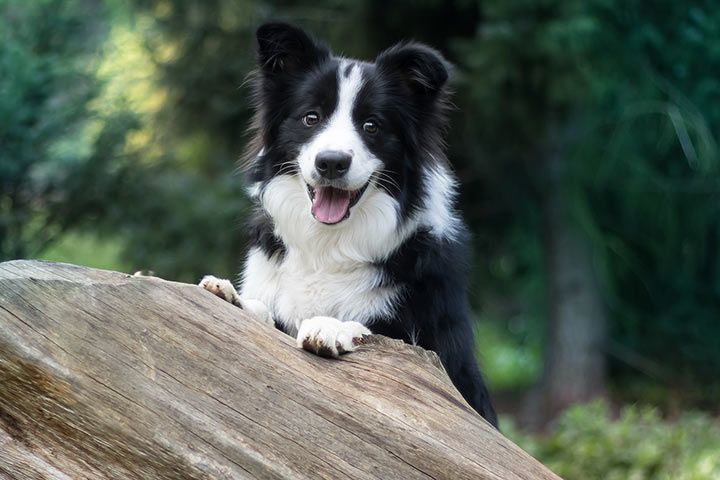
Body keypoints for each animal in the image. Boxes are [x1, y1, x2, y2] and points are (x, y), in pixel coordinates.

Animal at [200, 22, 498, 428]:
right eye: (311, 117)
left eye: (371, 126)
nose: (331, 163)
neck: (328, 243)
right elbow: (266, 313)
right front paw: (232, 296)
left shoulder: (438, 354)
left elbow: (377, 334)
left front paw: (331, 326)